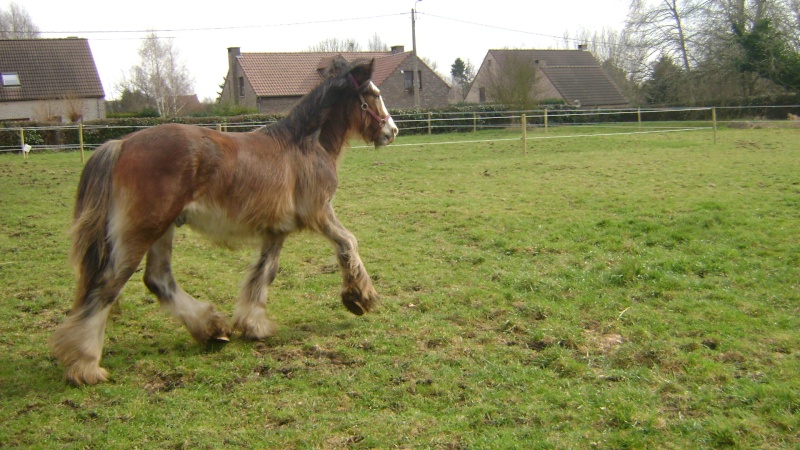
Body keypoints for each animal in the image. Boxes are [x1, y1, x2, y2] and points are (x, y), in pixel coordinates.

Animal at [50, 58, 400, 384]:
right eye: (374, 94)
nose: (392, 131)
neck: (305, 145)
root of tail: (120, 144)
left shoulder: (277, 230)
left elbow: (264, 273)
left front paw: (253, 325)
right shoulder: (319, 212)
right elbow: (348, 242)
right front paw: (360, 298)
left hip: (162, 230)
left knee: (158, 280)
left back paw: (212, 328)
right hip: (141, 231)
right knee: (107, 285)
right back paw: (85, 365)